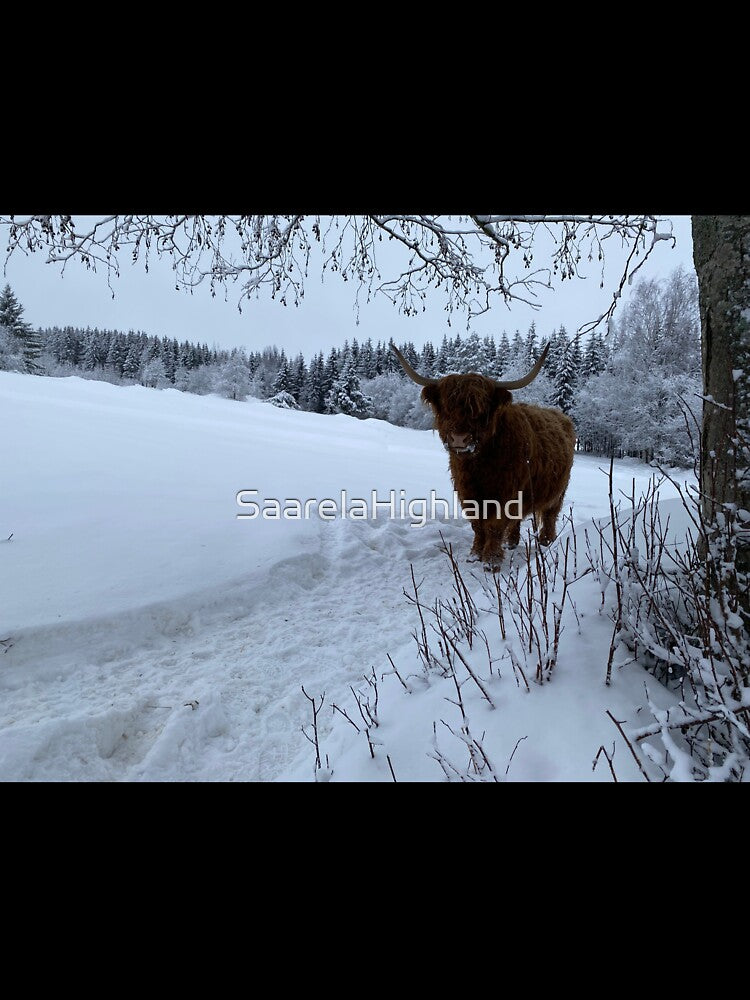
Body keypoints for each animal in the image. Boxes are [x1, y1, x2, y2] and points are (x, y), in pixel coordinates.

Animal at [390, 342, 576, 568]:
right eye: (446, 407)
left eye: (481, 410)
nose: (459, 439)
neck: (479, 465)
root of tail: (562, 417)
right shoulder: (468, 492)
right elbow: (478, 525)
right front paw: (475, 554)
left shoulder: (506, 493)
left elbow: (494, 525)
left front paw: (491, 561)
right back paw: (511, 542)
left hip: (558, 491)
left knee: (550, 515)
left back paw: (546, 542)